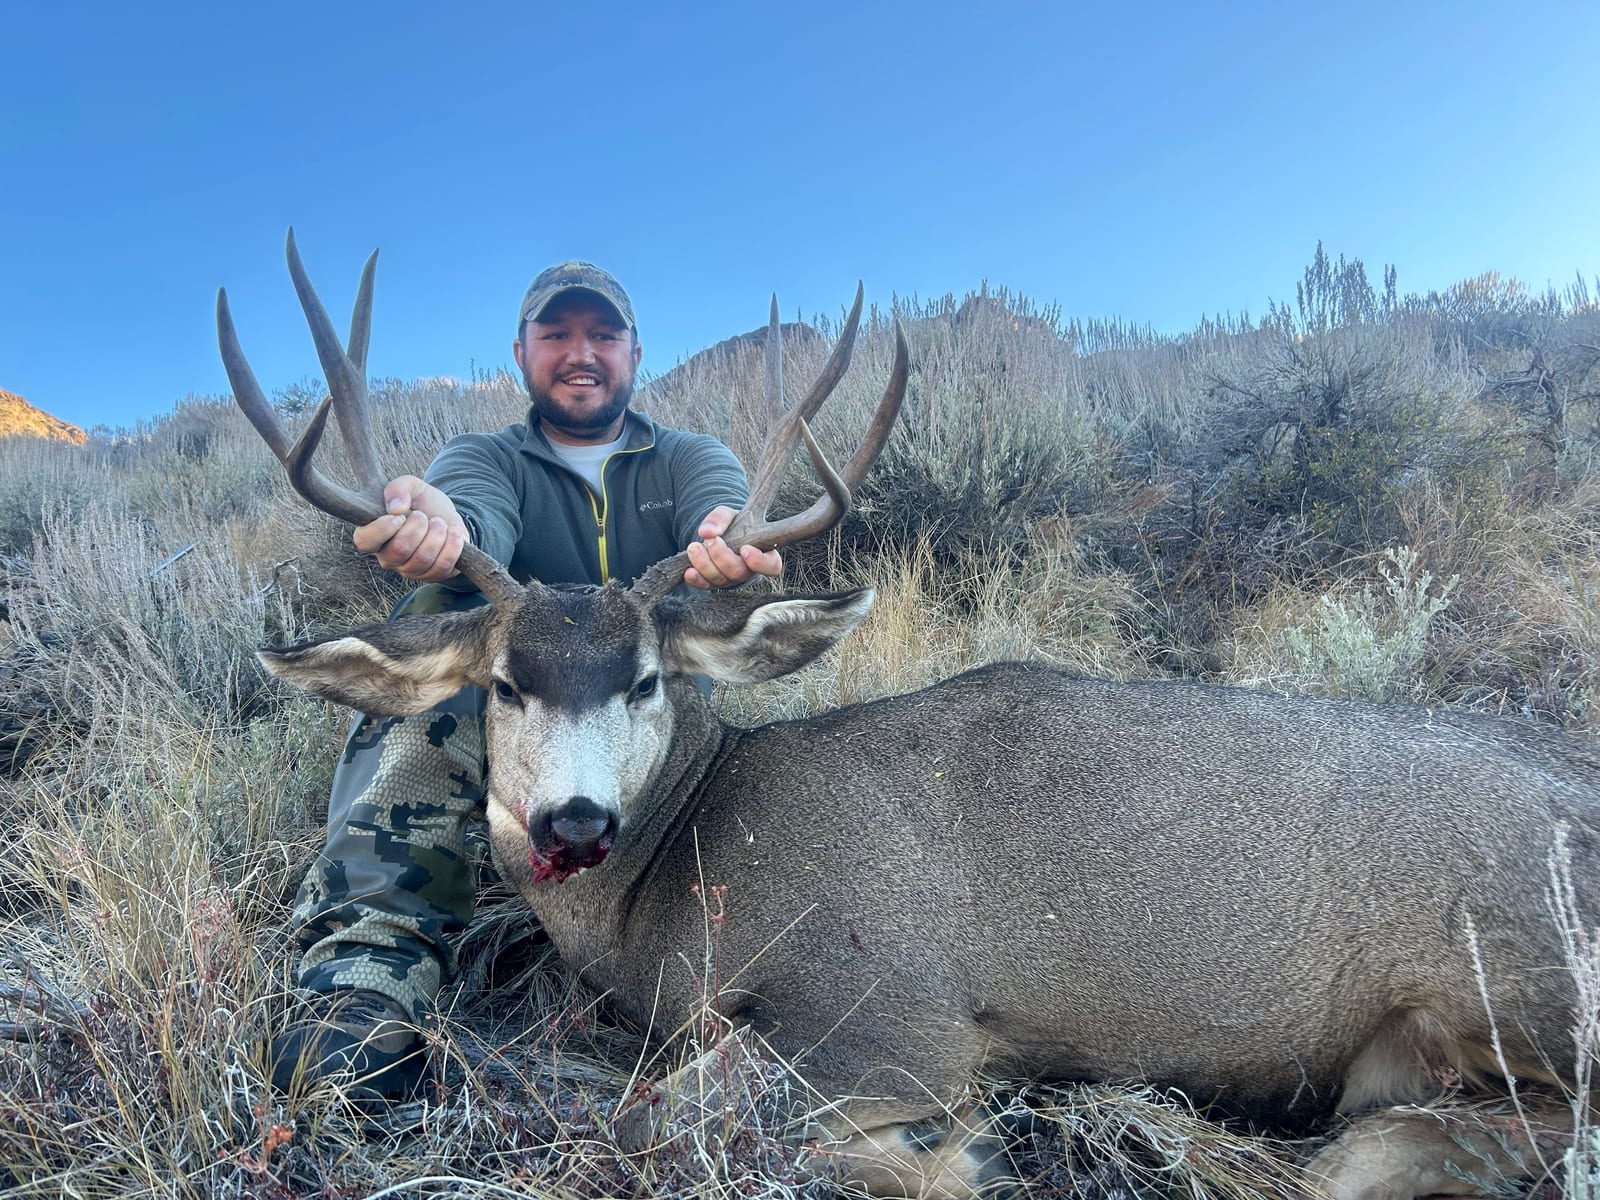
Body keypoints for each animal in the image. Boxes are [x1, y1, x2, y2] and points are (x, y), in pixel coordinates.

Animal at [219, 232, 1600, 1200]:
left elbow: (658, 1115)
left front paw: (951, 1156)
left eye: (647, 680)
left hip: (1519, 969)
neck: (686, 871)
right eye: (505, 684)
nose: (571, 820)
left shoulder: (889, 1014)